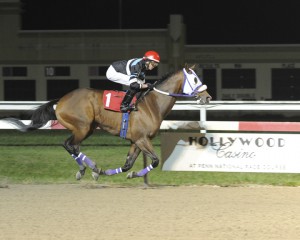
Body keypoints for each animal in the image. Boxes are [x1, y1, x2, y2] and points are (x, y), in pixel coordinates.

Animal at [4, 64, 211, 181]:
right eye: (194, 79)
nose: (207, 97)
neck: (151, 104)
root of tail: (61, 100)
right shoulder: (142, 139)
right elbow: (155, 160)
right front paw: (100, 171)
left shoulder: (136, 141)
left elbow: (128, 165)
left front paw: (122, 174)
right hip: (82, 126)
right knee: (69, 144)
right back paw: (88, 168)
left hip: (87, 129)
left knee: (73, 146)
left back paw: (88, 169)